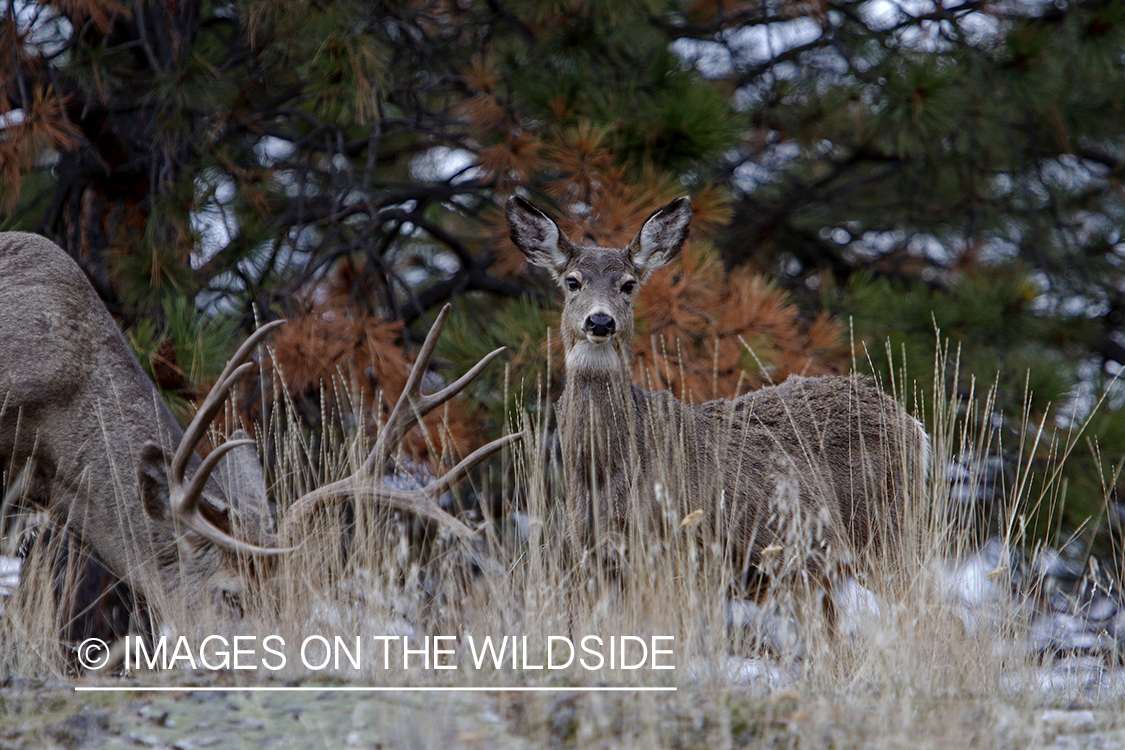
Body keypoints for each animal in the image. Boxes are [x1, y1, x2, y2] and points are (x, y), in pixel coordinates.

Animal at [506, 196, 929, 615]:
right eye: (572, 282)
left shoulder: (676, 550)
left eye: (628, 284)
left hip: (890, 533)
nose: (599, 321)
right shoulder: (594, 557)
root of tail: (912, 424)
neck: (602, 468)